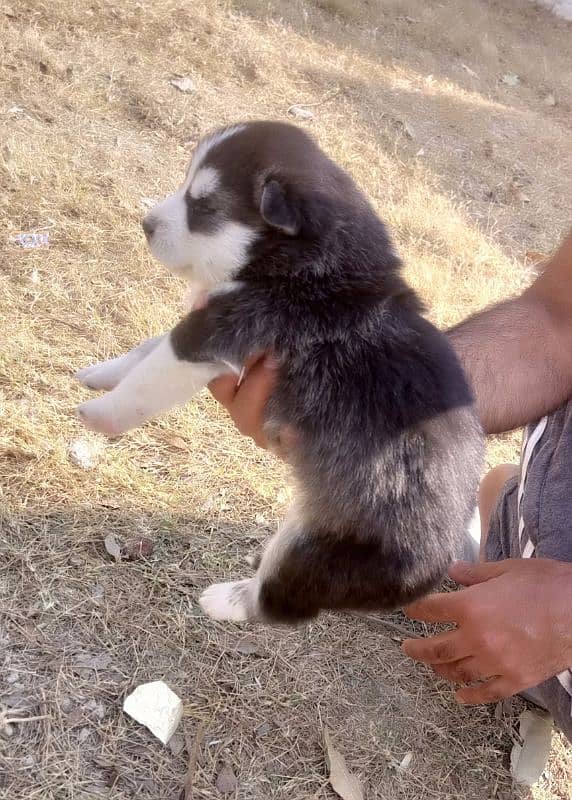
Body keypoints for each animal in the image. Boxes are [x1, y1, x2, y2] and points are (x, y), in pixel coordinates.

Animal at [76, 122, 482, 624]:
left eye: (203, 206)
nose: (146, 224)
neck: (309, 262)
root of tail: (443, 557)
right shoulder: (207, 316)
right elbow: (145, 349)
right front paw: (101, 373)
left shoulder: (217, 330)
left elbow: (147, 380)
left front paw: (99, 413)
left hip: (315, 548)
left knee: (274, 601)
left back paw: (229, 599)